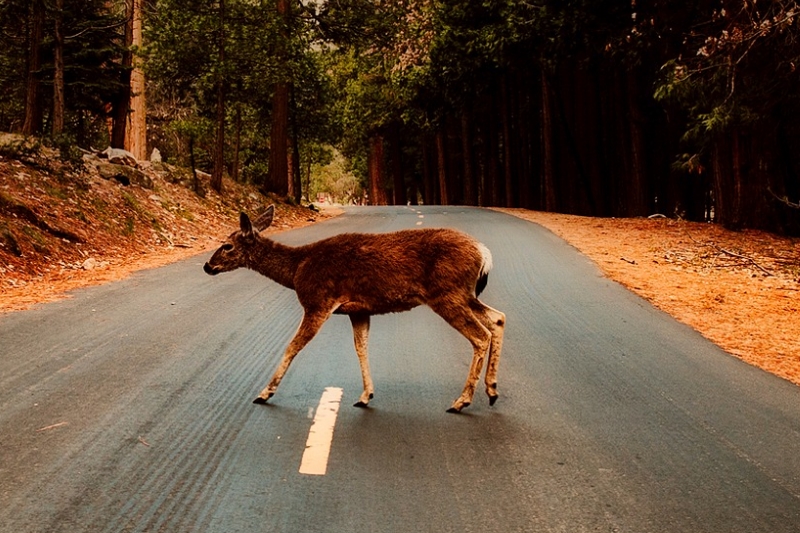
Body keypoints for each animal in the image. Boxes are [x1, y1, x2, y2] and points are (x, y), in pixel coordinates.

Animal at [203, 205, 504, 412]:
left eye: (227, 246)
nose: (207, 265)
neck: (297, 269)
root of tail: (484, 252)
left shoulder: (319, 301)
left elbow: (293, 346)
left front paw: (265, 393)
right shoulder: (359, 310)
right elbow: (361, 347)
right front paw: (365, 395)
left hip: (447, 294)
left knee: (481, 335)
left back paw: (461, 401)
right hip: (464, 294)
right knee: (498, 318)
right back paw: (491, 391)